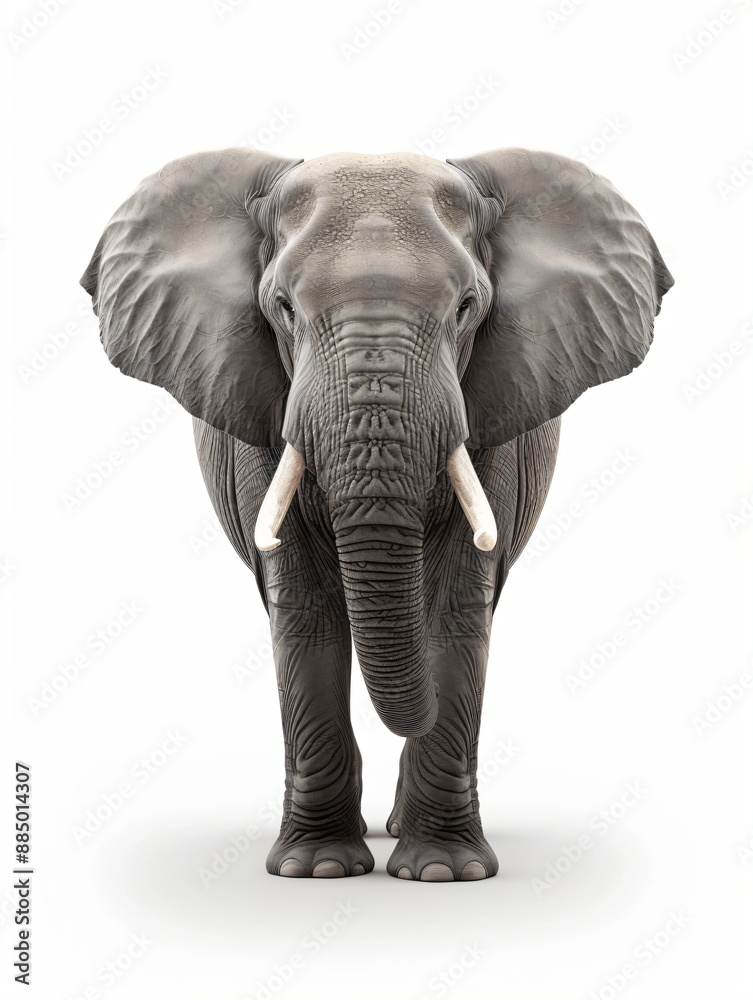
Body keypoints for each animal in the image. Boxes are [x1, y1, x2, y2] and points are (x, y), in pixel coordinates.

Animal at [80, 146, 673, 881]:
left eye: (467, 307)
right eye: (282, 307)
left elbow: (454, 607)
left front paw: (443, 872)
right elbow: (304, 608)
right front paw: (317, 870)